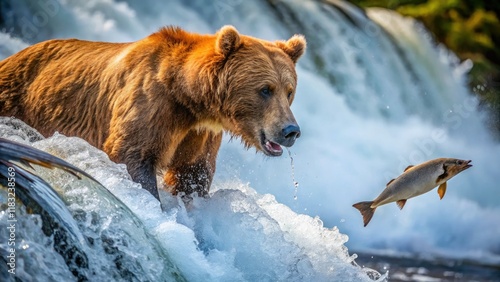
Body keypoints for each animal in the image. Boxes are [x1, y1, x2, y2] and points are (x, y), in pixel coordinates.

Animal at [0, 24, 306, 200]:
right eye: (265, 89)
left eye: (289, 90)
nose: (291, 130)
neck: (191, 99)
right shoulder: (154, 106)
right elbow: (132, 155)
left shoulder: (200, 133)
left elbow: (191, 173)